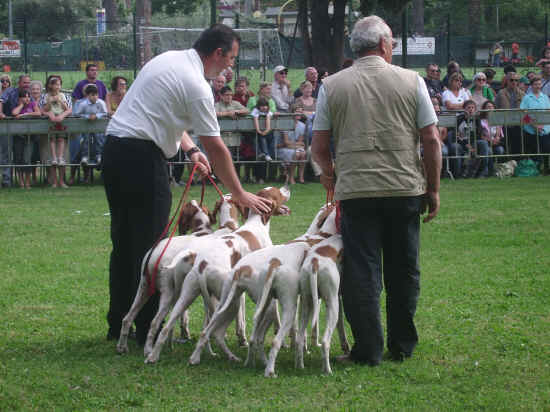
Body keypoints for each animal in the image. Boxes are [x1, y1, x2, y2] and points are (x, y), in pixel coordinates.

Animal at [147, 187, 294, 364]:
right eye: (278, 192)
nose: (287, 187)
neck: (257, 224)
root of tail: (203, 265)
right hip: (226, 300)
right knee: (210, 330)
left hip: (186, 295)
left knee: (165, 326)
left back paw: (153, 355)